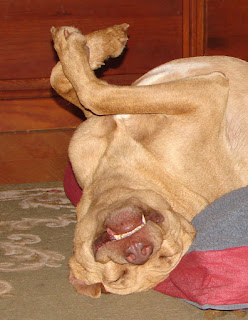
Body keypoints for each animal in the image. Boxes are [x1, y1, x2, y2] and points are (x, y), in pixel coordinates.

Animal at [50, 24, 248, 298]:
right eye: (120, 275)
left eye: (165, 256)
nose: (139, 251)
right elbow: (63, 81)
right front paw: (105, 41)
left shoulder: (208, 93)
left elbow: (93, 94)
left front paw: (79, 46)